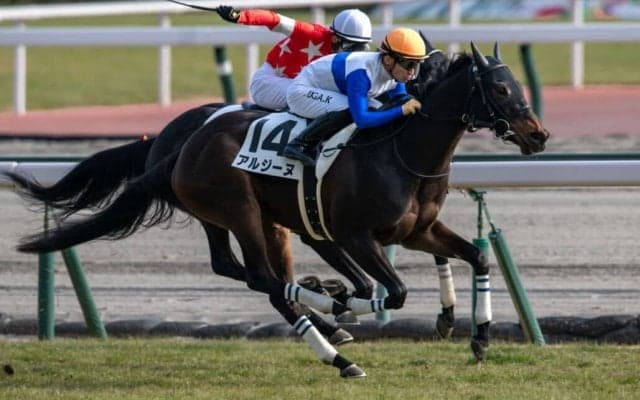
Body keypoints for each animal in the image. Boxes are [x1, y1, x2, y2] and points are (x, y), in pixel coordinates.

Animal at [12, 42, 548, 378]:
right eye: (500, 89)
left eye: (516, 85)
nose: (538, 134)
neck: (402, 151)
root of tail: (180, 147)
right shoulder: (355, 235)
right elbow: (391, 293)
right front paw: (344, 300)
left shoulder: (418, 229)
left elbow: (476, 257)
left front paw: (479, 338)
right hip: (240, 209)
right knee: (265, 281)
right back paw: (336, 349)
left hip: (232, 217)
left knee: (237, 268)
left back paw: (324, 306)